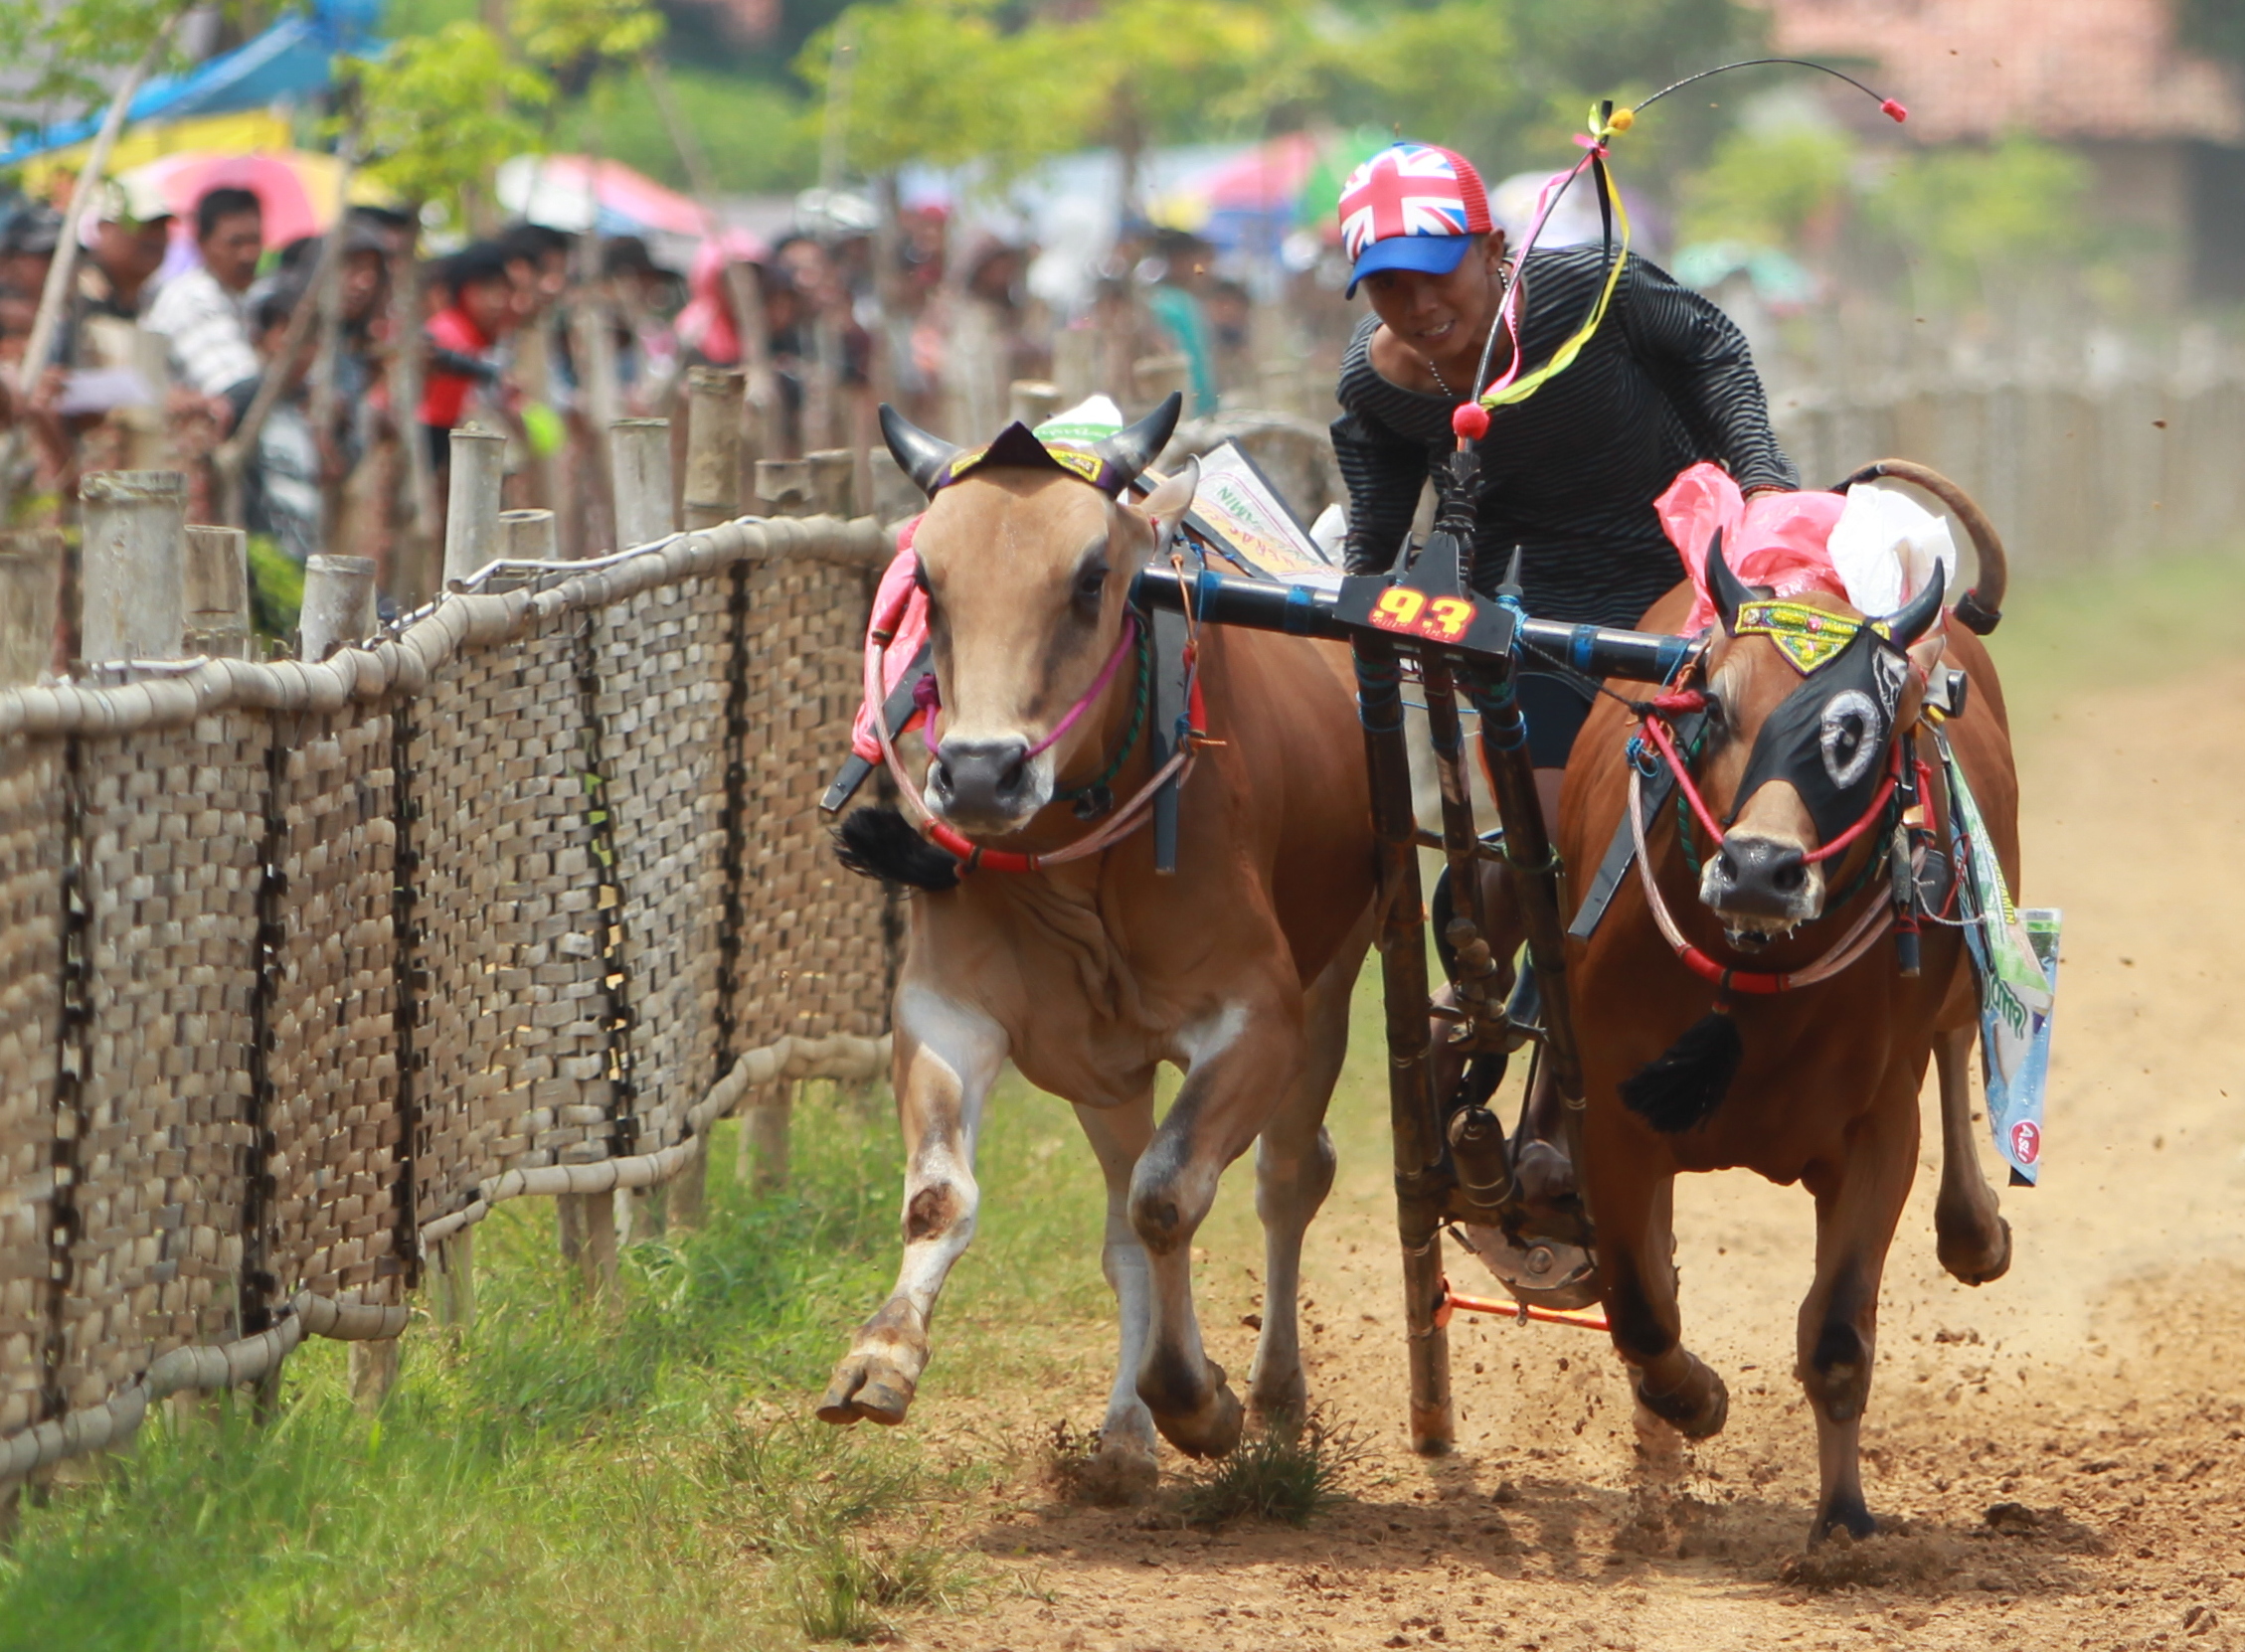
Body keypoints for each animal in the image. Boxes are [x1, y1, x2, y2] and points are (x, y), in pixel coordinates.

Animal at [1562, 471, 2020, 1544]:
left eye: (1862, 732)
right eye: (1714, 706)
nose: (1760, 870)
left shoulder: (1875, 1129)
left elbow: (1839, 1333)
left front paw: (1843, 1519)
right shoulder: (1616, 1115)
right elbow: (1640, 1305)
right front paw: (1691, 1401)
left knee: (1954, 1044)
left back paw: (1973, 1227)